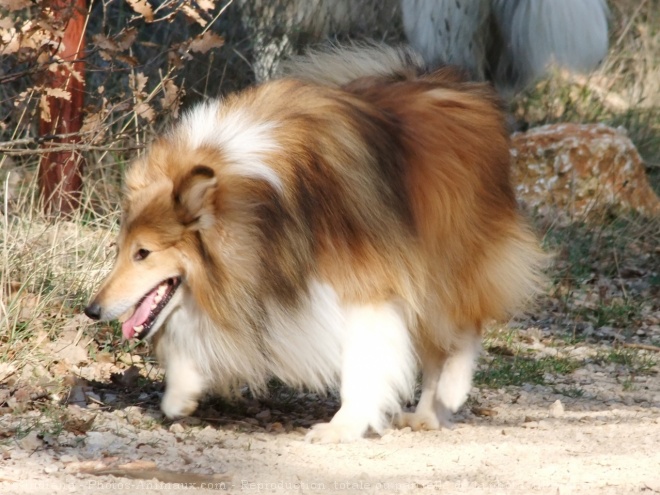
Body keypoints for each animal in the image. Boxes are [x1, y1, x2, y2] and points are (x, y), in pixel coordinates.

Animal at [85, 45, 544, 442]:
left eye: (143, 253)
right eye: (119, 249)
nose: (92, 310)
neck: (262, 204)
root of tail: (455, 84)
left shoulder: (367, 285)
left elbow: (363, 361)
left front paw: (344, 426)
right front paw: (180, 393)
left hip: (448, 262)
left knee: (461, 330)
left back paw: (447, 395)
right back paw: (428, 413)